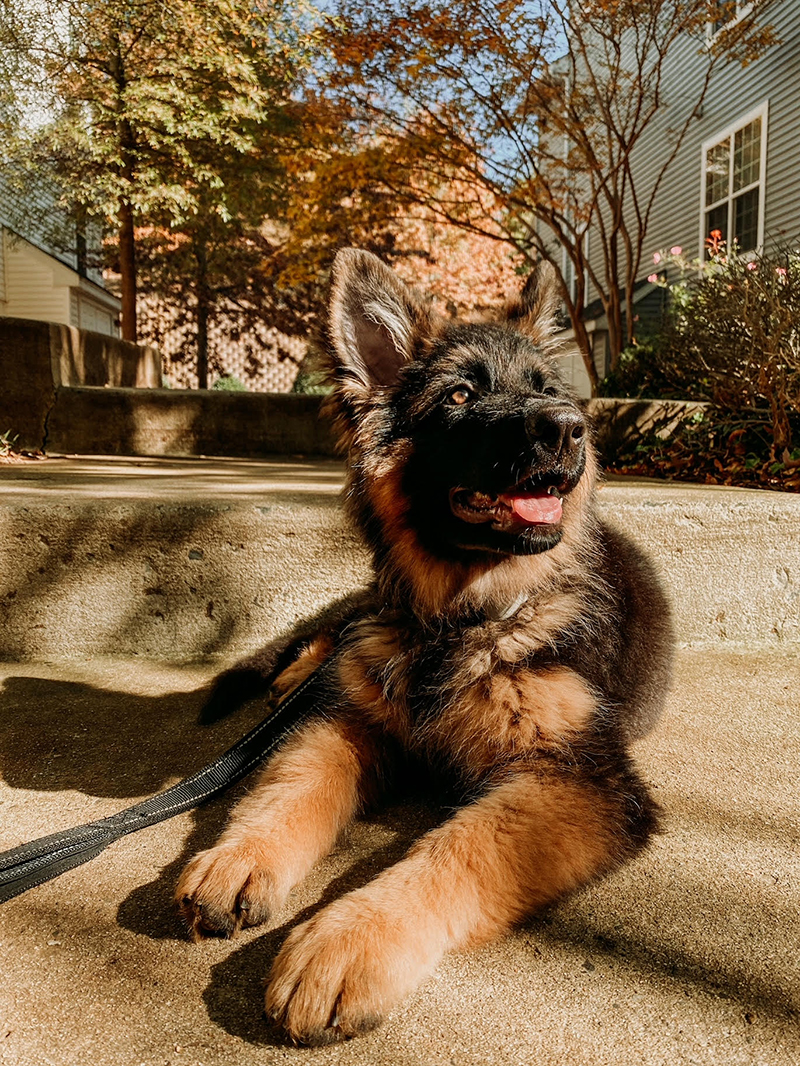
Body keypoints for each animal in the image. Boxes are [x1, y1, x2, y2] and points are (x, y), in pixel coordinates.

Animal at [177, 251, 678, 1048]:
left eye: (548, 392)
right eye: (460, 395)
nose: (568, 429)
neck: (462, 617)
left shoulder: (576, 780)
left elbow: (458, 847)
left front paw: (349, 939)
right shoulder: (352, 722)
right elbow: (289, 782)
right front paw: (241, 856)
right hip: (357, 628)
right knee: (327, 644)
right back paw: (295, 675)